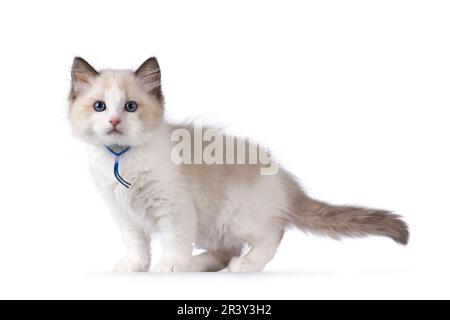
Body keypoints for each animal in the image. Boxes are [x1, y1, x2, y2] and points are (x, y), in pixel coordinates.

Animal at [68, 56, 410, 272]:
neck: (120, 157)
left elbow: (174, 241)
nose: (113, 121)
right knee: (226, 250)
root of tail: (284, 180)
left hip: (234, 214)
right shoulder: (124, 214)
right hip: (211, 226)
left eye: (130, 107)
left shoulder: (175, 209)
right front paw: (136, 267)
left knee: (271, 236)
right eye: (99, 106)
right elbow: (136, 244)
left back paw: (243, 265)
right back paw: (197, 265)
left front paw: (171, 265)